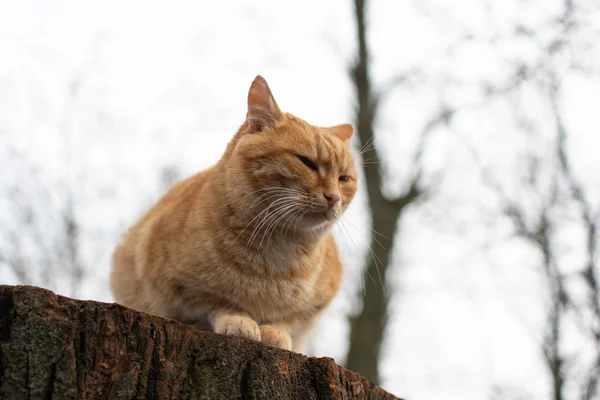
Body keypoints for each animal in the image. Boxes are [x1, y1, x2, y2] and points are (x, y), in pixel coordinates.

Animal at [110, 76, 356, 352]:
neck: (279, 248)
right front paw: (238, 319)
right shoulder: (180, 286)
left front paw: (275, 331)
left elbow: (289, 320)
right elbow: (217, 302)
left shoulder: (313, 309)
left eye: (344, 178)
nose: (334, 197)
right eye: (307, 162)